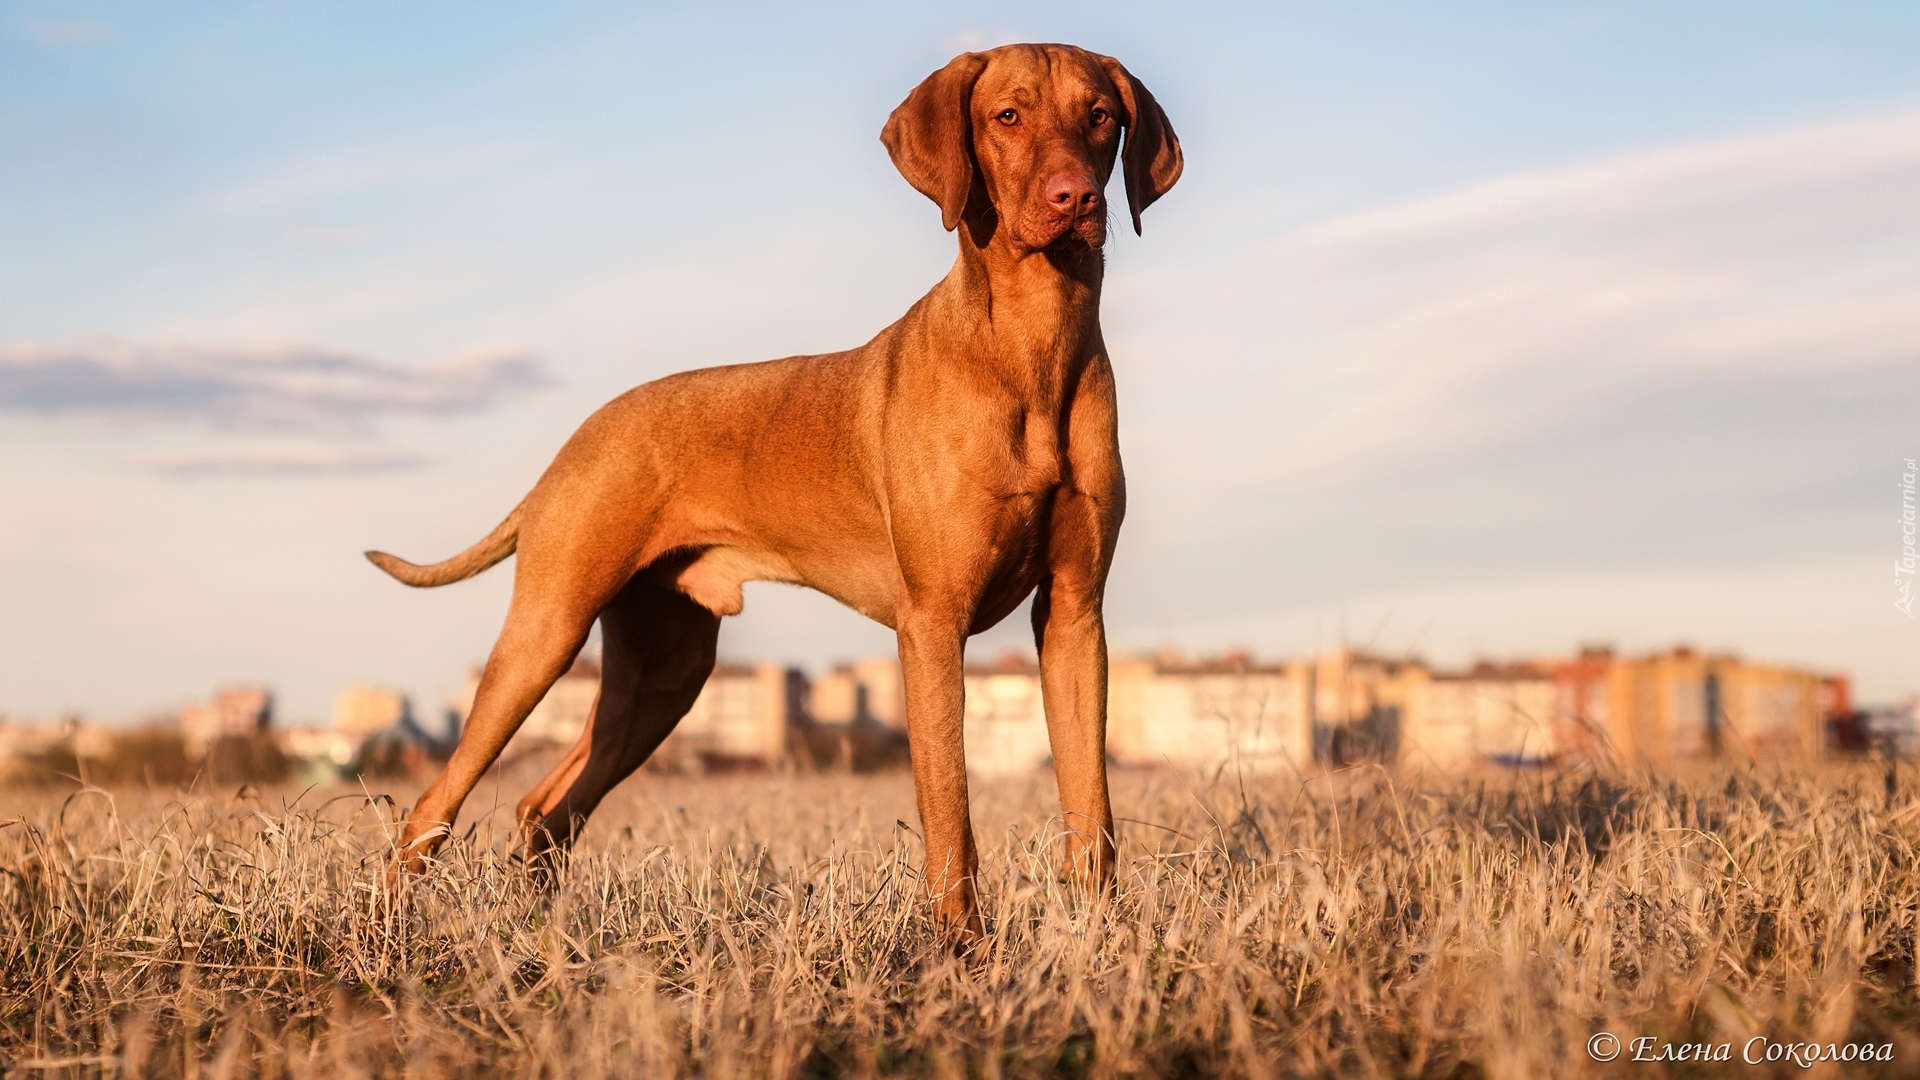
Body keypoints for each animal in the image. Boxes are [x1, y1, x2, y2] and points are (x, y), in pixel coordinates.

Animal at [364, 42, 1175, 933]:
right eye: (1007, 116)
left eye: (1100, 116)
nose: (1078, 197)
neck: (1031, 346)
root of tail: (576, 441)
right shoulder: (933, 622)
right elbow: (950, 811)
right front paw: (960, 946)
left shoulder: (1073, 614)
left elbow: (1091, 805)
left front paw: (1102, 939)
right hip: (547, 632)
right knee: (433, 804)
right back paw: (390, 930)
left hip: (665, 672)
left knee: (546, 807)